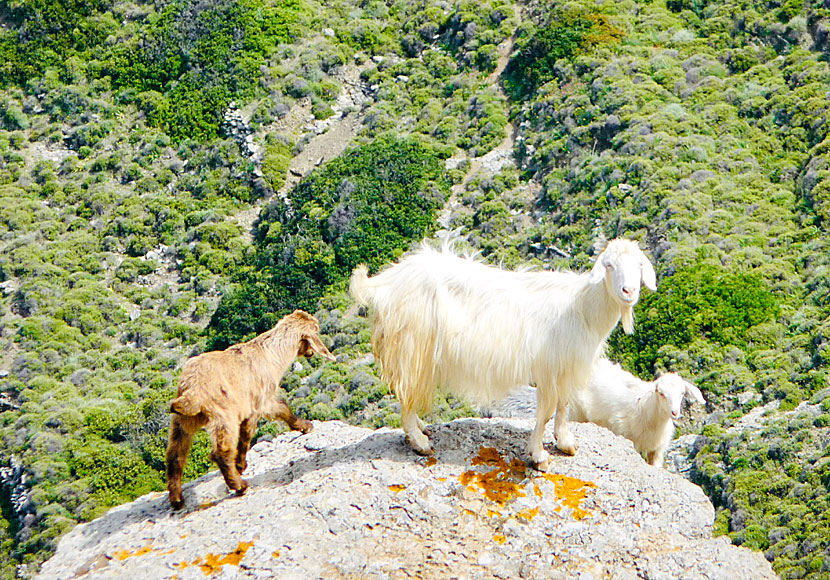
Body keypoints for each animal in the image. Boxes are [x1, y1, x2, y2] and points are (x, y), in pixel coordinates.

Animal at [166, 308, 334, 508]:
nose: (309, 353)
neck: (270, 354)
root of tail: (192, 391)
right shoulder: (259, 403)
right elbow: (274, 415)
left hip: (182, 421)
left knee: (175, 454)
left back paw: (176, 499)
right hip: (223, 416)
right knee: (220, 452)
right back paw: (239, 485)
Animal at [350, 238, 656, 468]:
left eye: (640, 265)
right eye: (609, 265)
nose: (628, 291)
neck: (581, 307)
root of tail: (386, 282)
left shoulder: (566, 366)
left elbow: (564, 405)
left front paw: (565, 443)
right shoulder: (548, 368)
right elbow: (546, 410)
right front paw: (538, 456)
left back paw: (421, 428)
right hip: (413, 346)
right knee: (406, 394)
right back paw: (419, 442)